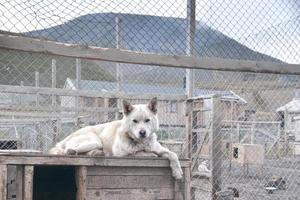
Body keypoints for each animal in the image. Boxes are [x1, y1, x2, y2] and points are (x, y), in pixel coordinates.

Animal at [49, 97, 183, 180]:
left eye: (147, 120)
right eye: (135, 121)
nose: (142, 132)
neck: (141, 143)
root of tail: (65, 139)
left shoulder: (160, 149)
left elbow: (173, 154)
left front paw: (178, 172)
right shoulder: (121, 154)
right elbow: (138, 153)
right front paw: (149, 154)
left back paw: (97, 153)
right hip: (94, 141)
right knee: (67, 151)